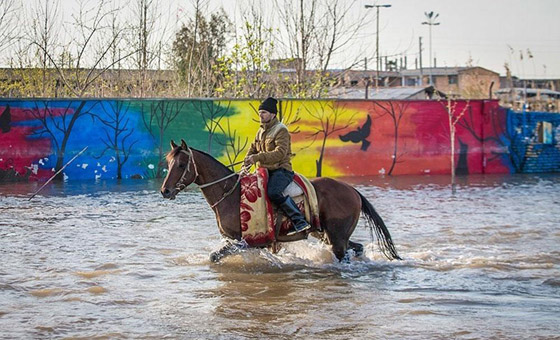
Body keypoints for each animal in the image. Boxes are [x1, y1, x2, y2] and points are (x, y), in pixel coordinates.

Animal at [160, 139, 400, 262]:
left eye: (181, 165)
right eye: (168, 162)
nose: (165, 190)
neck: (231, 194)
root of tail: (352, 190)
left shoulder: (243, 241)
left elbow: (214, 257)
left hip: (337, 237)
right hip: (329, 235)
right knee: (357, 248)